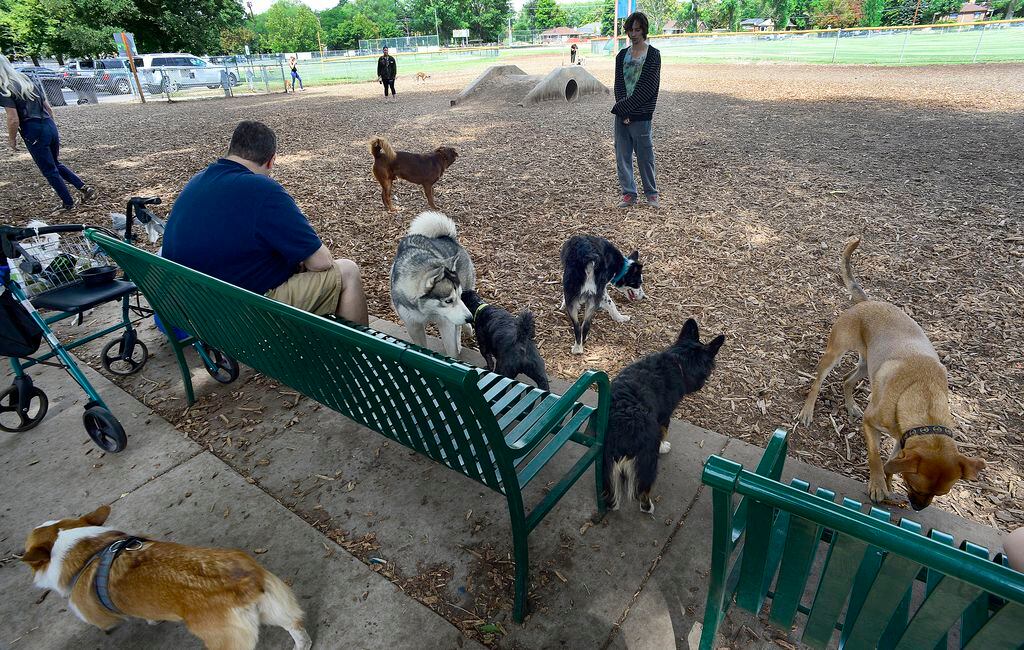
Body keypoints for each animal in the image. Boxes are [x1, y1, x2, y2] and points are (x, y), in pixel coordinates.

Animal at [391, 211, 475, 356]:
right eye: (448, 301)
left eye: (458, 296)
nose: (470, 318)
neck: (425, 311)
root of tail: (446, 237)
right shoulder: (413, 326)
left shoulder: (446, 323)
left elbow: (451, 348)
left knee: (458, 327)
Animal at [602, 317, 724, 515]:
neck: (678, 361)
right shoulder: (664, 417)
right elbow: (664, 433)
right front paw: (664, 446)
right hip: (648, 463)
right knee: (642, 491)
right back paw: (648, 507)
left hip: (604, 463)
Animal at [798, 236, 983, 511]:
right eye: (915, 486)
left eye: (941, 494)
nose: (918, 508)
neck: (923, 395)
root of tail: (866, 302)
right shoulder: (871, 423)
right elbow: (875, 457)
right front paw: (877, 484)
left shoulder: (902, 440)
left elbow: (891, 461)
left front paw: (887, 482)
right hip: (835, 353)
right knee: (818, 382)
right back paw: (808, 411)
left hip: (867, 366)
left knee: (846, 380)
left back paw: (851, 406)